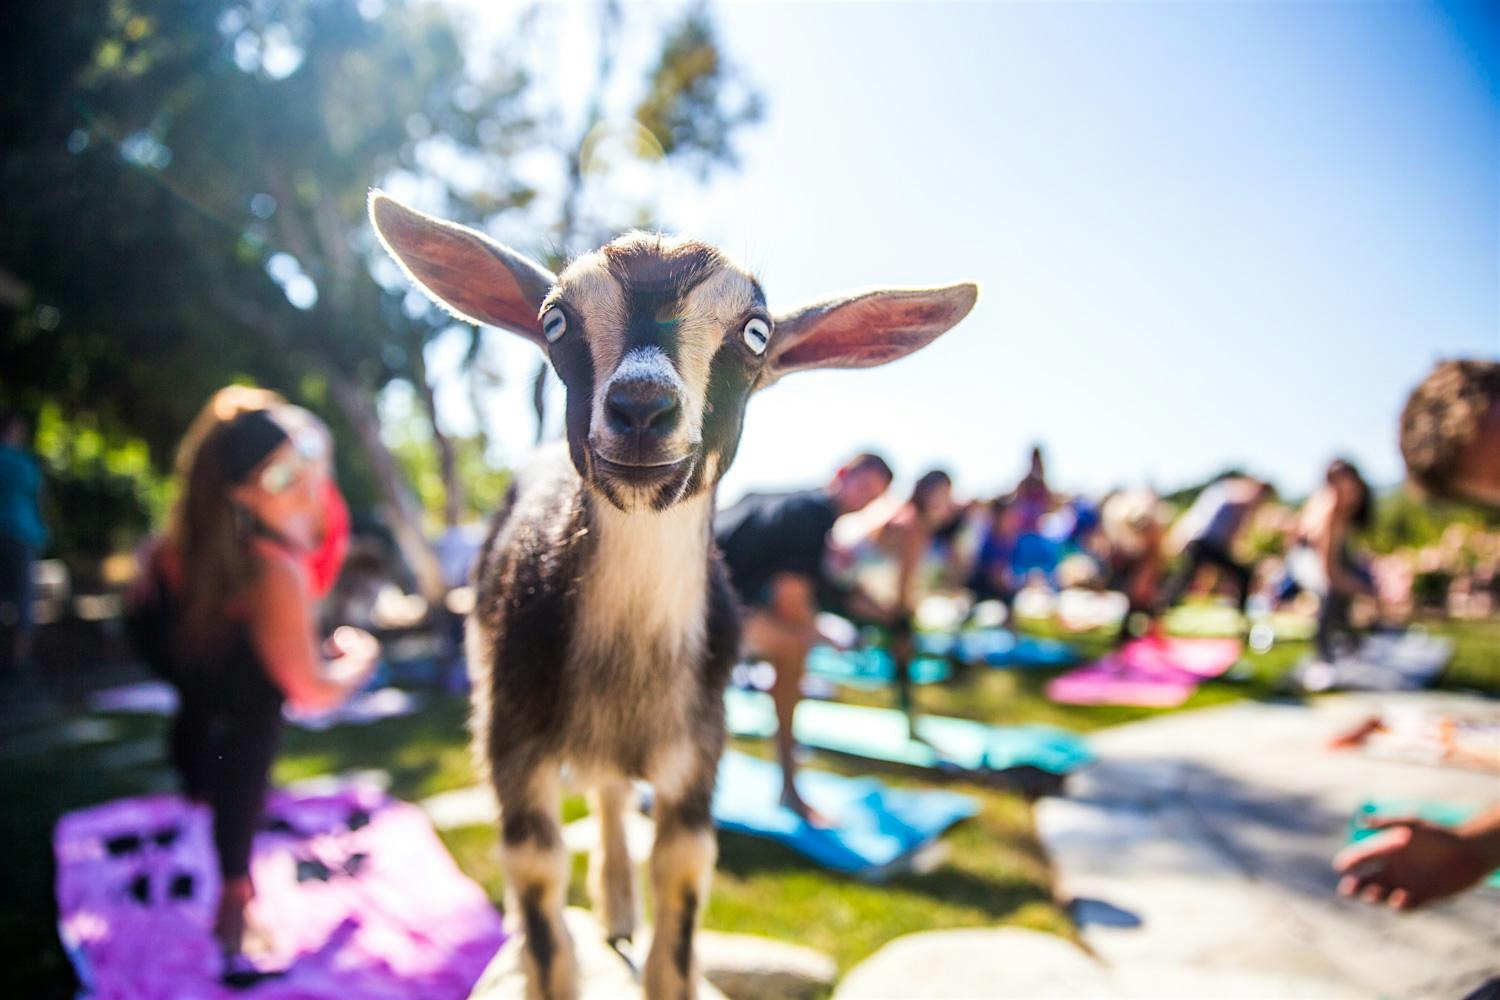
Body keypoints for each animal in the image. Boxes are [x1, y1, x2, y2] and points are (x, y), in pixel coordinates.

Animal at [369, 191, 978, 995]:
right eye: (554, 320)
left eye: (755, 331)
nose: (639, 407)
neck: (630, 657)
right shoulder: (511, 740)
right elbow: (541, 906)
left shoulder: (699, 751)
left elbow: (679, 903)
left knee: (612, 794)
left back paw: (621, 906)